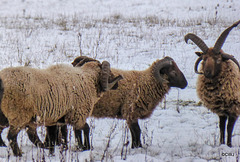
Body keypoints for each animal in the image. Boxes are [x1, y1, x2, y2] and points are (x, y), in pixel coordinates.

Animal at [44, 56, 188, 151]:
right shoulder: (130, 112)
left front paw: (135, 147)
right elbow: (136, 131)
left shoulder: (131, 114)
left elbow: (134, 131)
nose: (185, 84)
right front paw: (136, 147)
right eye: (173, 71)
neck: (145, 83)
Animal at [185, 19, 240, 147]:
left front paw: (229, 145)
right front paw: (221, 144)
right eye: (204, 59)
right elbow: (221, 126)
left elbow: (229, 128)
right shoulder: (221, 110)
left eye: (218, 59)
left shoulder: (234, 108)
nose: (207, 73)